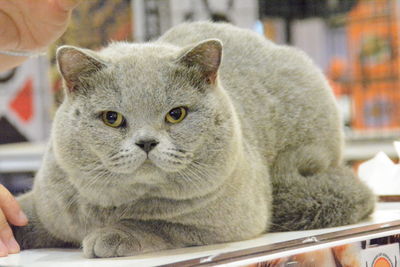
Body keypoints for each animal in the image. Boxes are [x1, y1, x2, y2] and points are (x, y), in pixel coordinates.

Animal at [13, 22, 376, 258]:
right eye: (111, 118)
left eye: (176, 114)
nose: (147, 142)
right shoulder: (47, 205)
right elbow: (23, 213)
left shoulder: (227, 223)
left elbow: (158, 225)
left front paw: (114, 235)